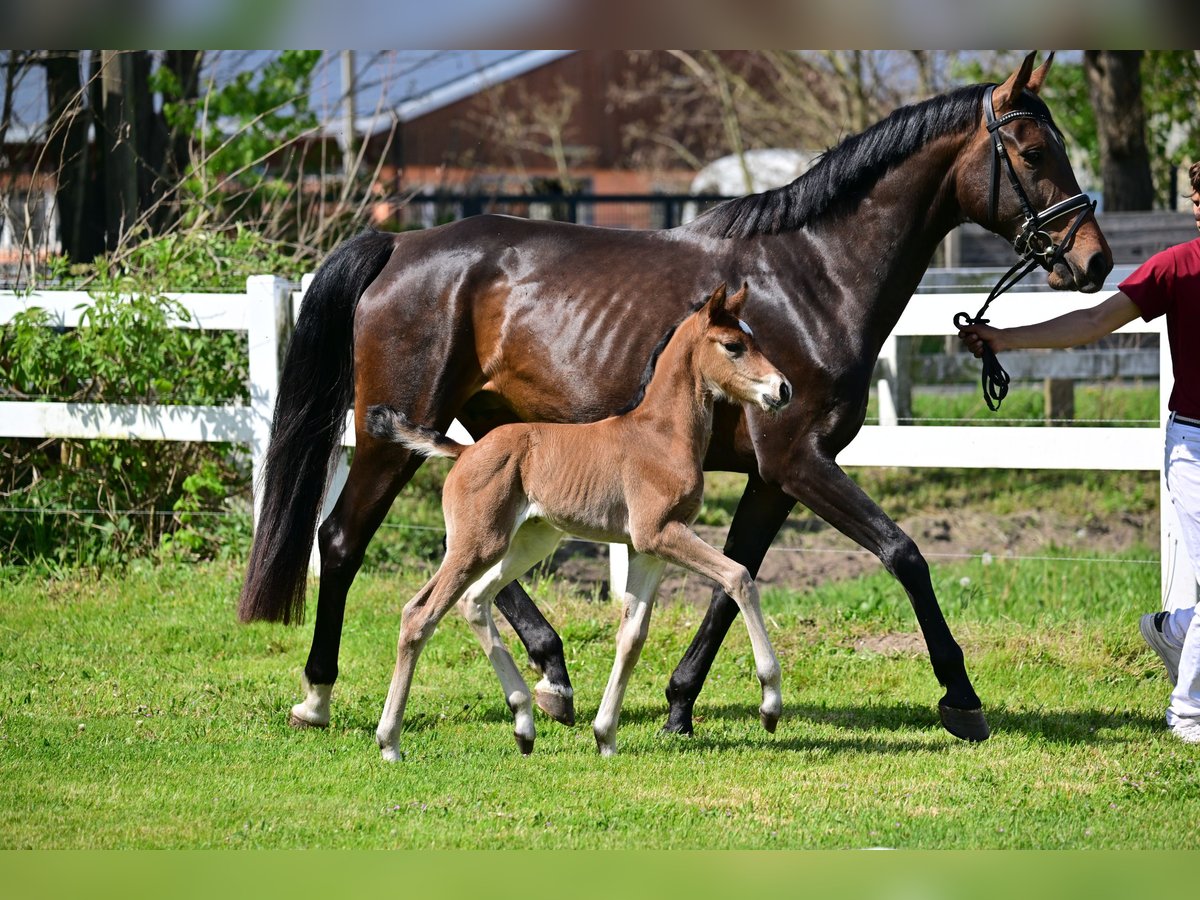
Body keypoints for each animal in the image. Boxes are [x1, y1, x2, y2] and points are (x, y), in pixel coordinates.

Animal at [364, 283, 796, 763]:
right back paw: (389, 742)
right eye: (734, 345)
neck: (660, 435)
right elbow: (739, 577)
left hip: (528, 542)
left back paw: (524, 723)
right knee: (419, 614)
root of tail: (466, 450)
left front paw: (605, 735)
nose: (783, 389)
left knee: (474, 601)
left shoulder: (646, 549)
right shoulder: (661, 533)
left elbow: (632, 636)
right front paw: (771, 704)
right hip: (476, 544)